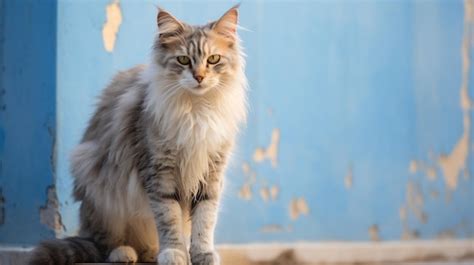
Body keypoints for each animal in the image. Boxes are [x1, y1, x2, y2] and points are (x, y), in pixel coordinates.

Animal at [28, 4, 248, 264]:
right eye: (183, 60)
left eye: (213, 59)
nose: (199, 77)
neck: (196, 110)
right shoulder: (159, 173)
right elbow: (169, 220)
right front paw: (174, 253)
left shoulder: (211, 173)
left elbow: (204, 221)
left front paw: (202, 254)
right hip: (98, 187)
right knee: (104, 243)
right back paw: (125, 253)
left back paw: (152, 253)